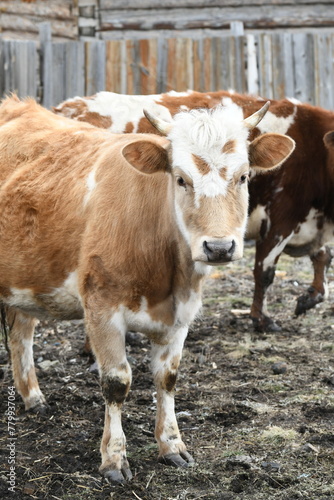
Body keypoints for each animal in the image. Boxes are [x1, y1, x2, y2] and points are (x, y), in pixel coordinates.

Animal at [0, 95, 294, 482]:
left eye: (243, 176)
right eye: (181, 179)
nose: (218, 247)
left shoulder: (181, 316)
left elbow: (167, 379)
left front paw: (171, 445)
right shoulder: (101, 310)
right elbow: (116, 382)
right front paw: (113, 458)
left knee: (21, 333)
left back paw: (33, 397)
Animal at [53, 90, 334, 332]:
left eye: (244, 176)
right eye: (180, 179)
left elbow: (323, 257)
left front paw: (310, 297)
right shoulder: (279, 222)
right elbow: (264, 273)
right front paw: (261, 320)